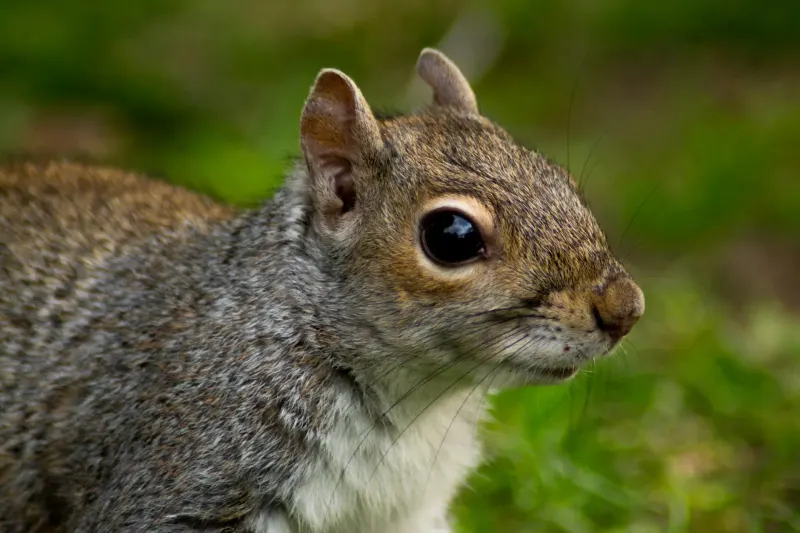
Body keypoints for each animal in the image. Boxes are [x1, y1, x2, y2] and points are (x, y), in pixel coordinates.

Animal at [0, 48, 644, 533]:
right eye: (452, 236)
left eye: (562, 182)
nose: (626, 309)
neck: (411, 404)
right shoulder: (185, 473)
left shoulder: (405, 514)